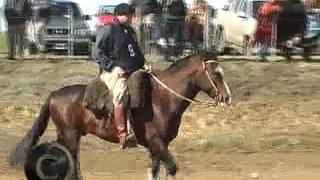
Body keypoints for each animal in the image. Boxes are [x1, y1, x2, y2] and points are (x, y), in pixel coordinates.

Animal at [8, 54, 231, 179]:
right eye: (215, 73)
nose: (227, 97)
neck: (162, 99)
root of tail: (54, 94)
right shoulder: (156, 143)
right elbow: (172, 168)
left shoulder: (159, 146)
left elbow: (156, 172)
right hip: (68, 136)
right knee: (63, 159)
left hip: (72, 136)